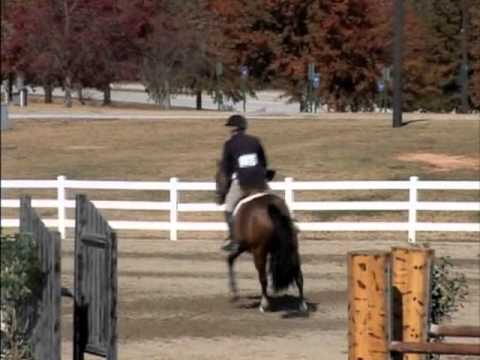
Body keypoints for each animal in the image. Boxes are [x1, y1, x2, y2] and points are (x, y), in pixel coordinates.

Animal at [215, 164, 308, 312]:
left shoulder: (242, 247)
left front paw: (234, 295)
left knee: (263, 277)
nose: (218, 196)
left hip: (259, 252)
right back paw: (302, 304)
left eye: (219, 176)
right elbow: (230, 260)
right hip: (293, 248)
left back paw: (264, 303)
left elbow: (230, 260)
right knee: (299, 276)